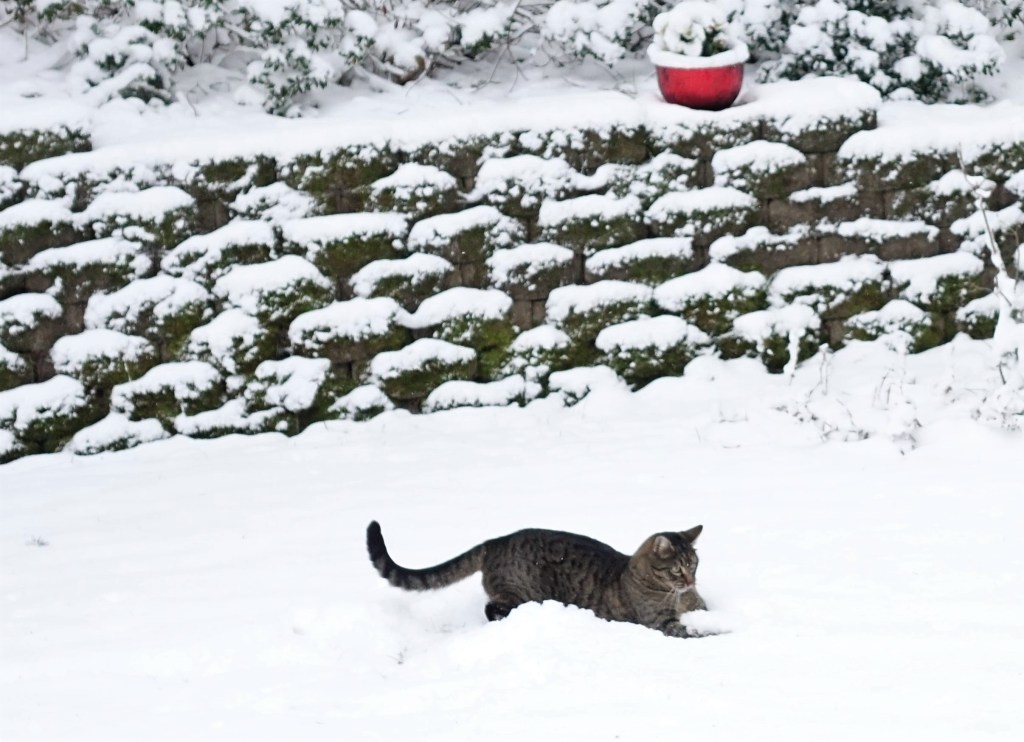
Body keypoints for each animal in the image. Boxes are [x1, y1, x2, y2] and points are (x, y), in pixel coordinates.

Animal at [367, 521, 708, 638]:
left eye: (695, 564)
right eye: (677, 569)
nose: (691, 582)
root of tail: (494, 542)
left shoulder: (699, 607)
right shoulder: (660, 622)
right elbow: (692, 631)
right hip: (519, 592)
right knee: (492, 608)